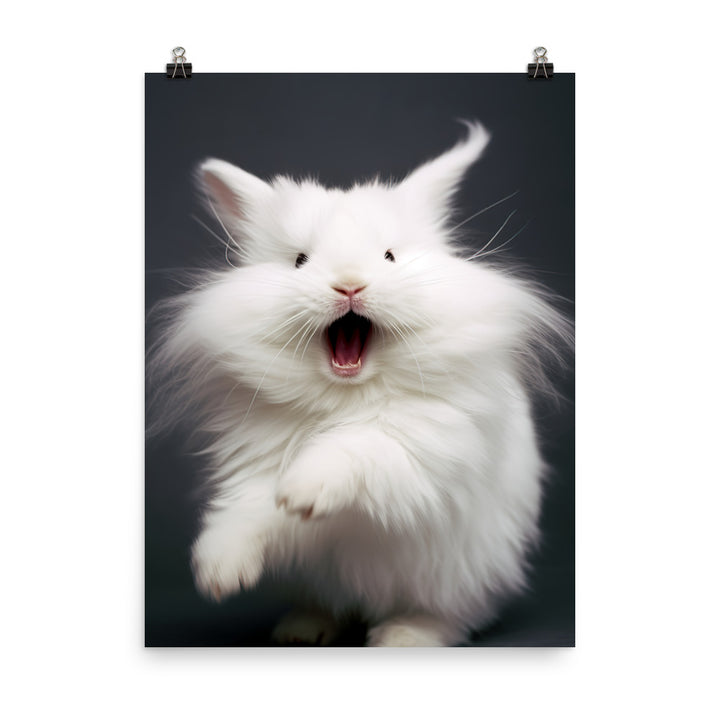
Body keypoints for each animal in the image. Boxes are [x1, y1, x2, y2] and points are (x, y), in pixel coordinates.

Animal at [148, 122, 571, 646]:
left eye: (389, 256)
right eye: (300, 261)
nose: (349, 285)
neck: (347, 394)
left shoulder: (423, 449)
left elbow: (358, 447)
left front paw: (301, 492)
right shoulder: (254, 463)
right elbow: (247, 509)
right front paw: (219, 573)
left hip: (459, 578)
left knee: (449, 615)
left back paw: (403, 636)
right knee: (330, 603)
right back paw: (302, 629)